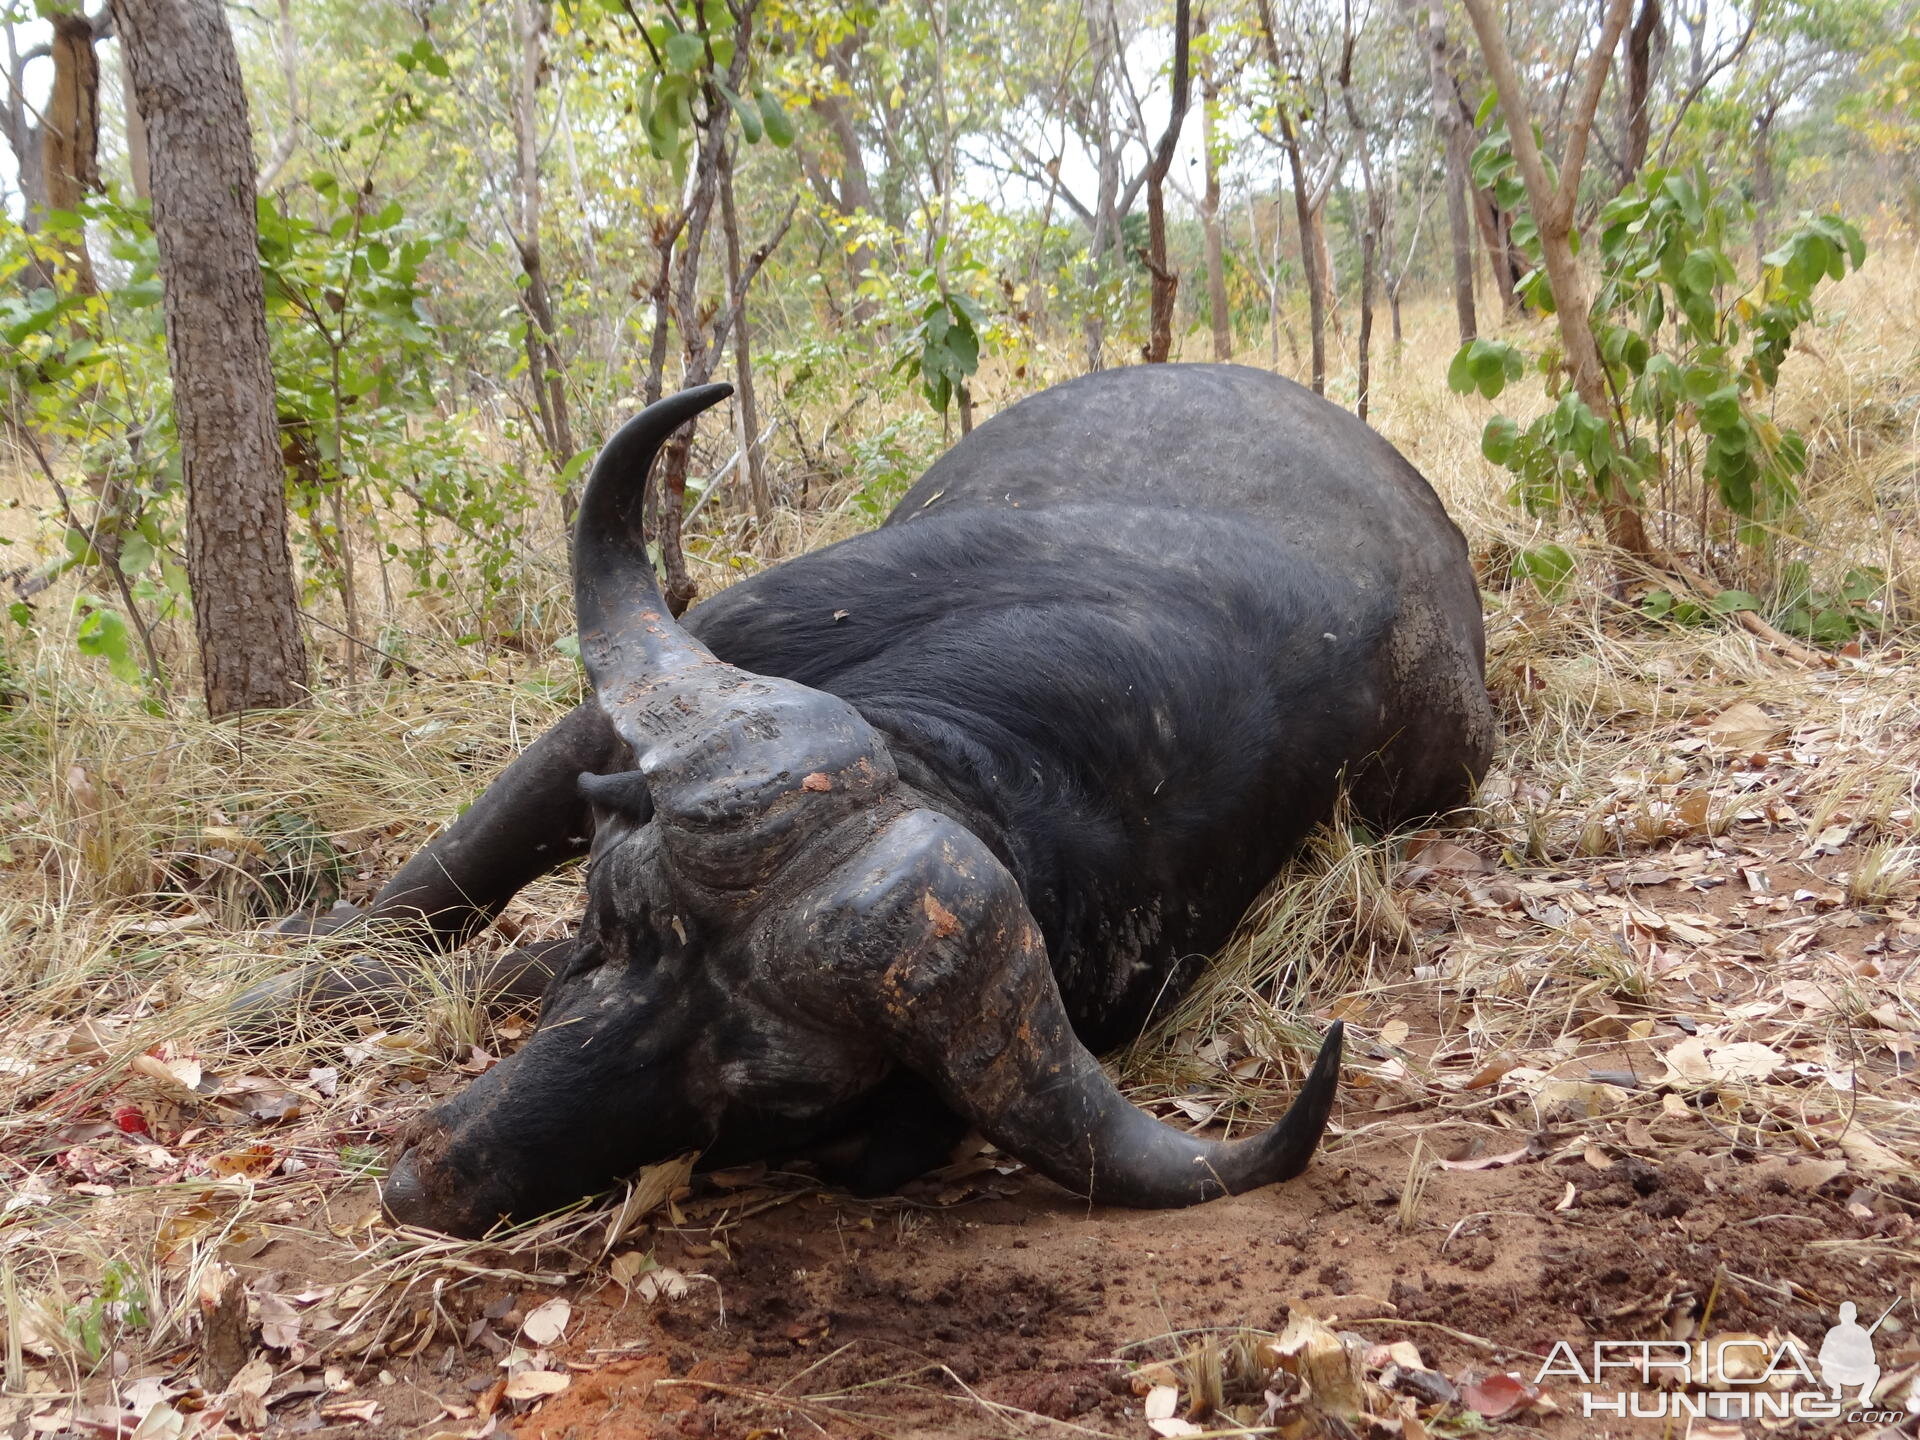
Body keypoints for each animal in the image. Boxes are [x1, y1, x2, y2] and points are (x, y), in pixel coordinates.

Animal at [243, 362, 1497, 1244]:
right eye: (613, 927)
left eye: (771, 1100)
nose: (424, 1183)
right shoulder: (637, 701)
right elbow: (441, 881)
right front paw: (291, 982)